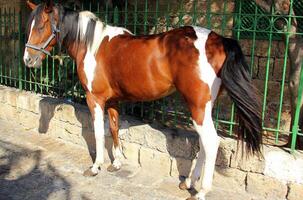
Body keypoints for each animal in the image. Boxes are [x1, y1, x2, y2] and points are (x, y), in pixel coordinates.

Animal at [23, 0, 264, 199]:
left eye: (41, 26)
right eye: (30, 26)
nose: (28, 60)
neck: (92, 45)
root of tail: (218, 40)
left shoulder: (95, 99)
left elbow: (98, 133)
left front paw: (95, 167)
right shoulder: (113, 101)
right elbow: (114, 129)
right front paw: (116, 163)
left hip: (197, 107)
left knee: (211, 142)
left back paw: (201, 192)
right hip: (204, 108)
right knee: (204, 143)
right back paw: (188, 183)